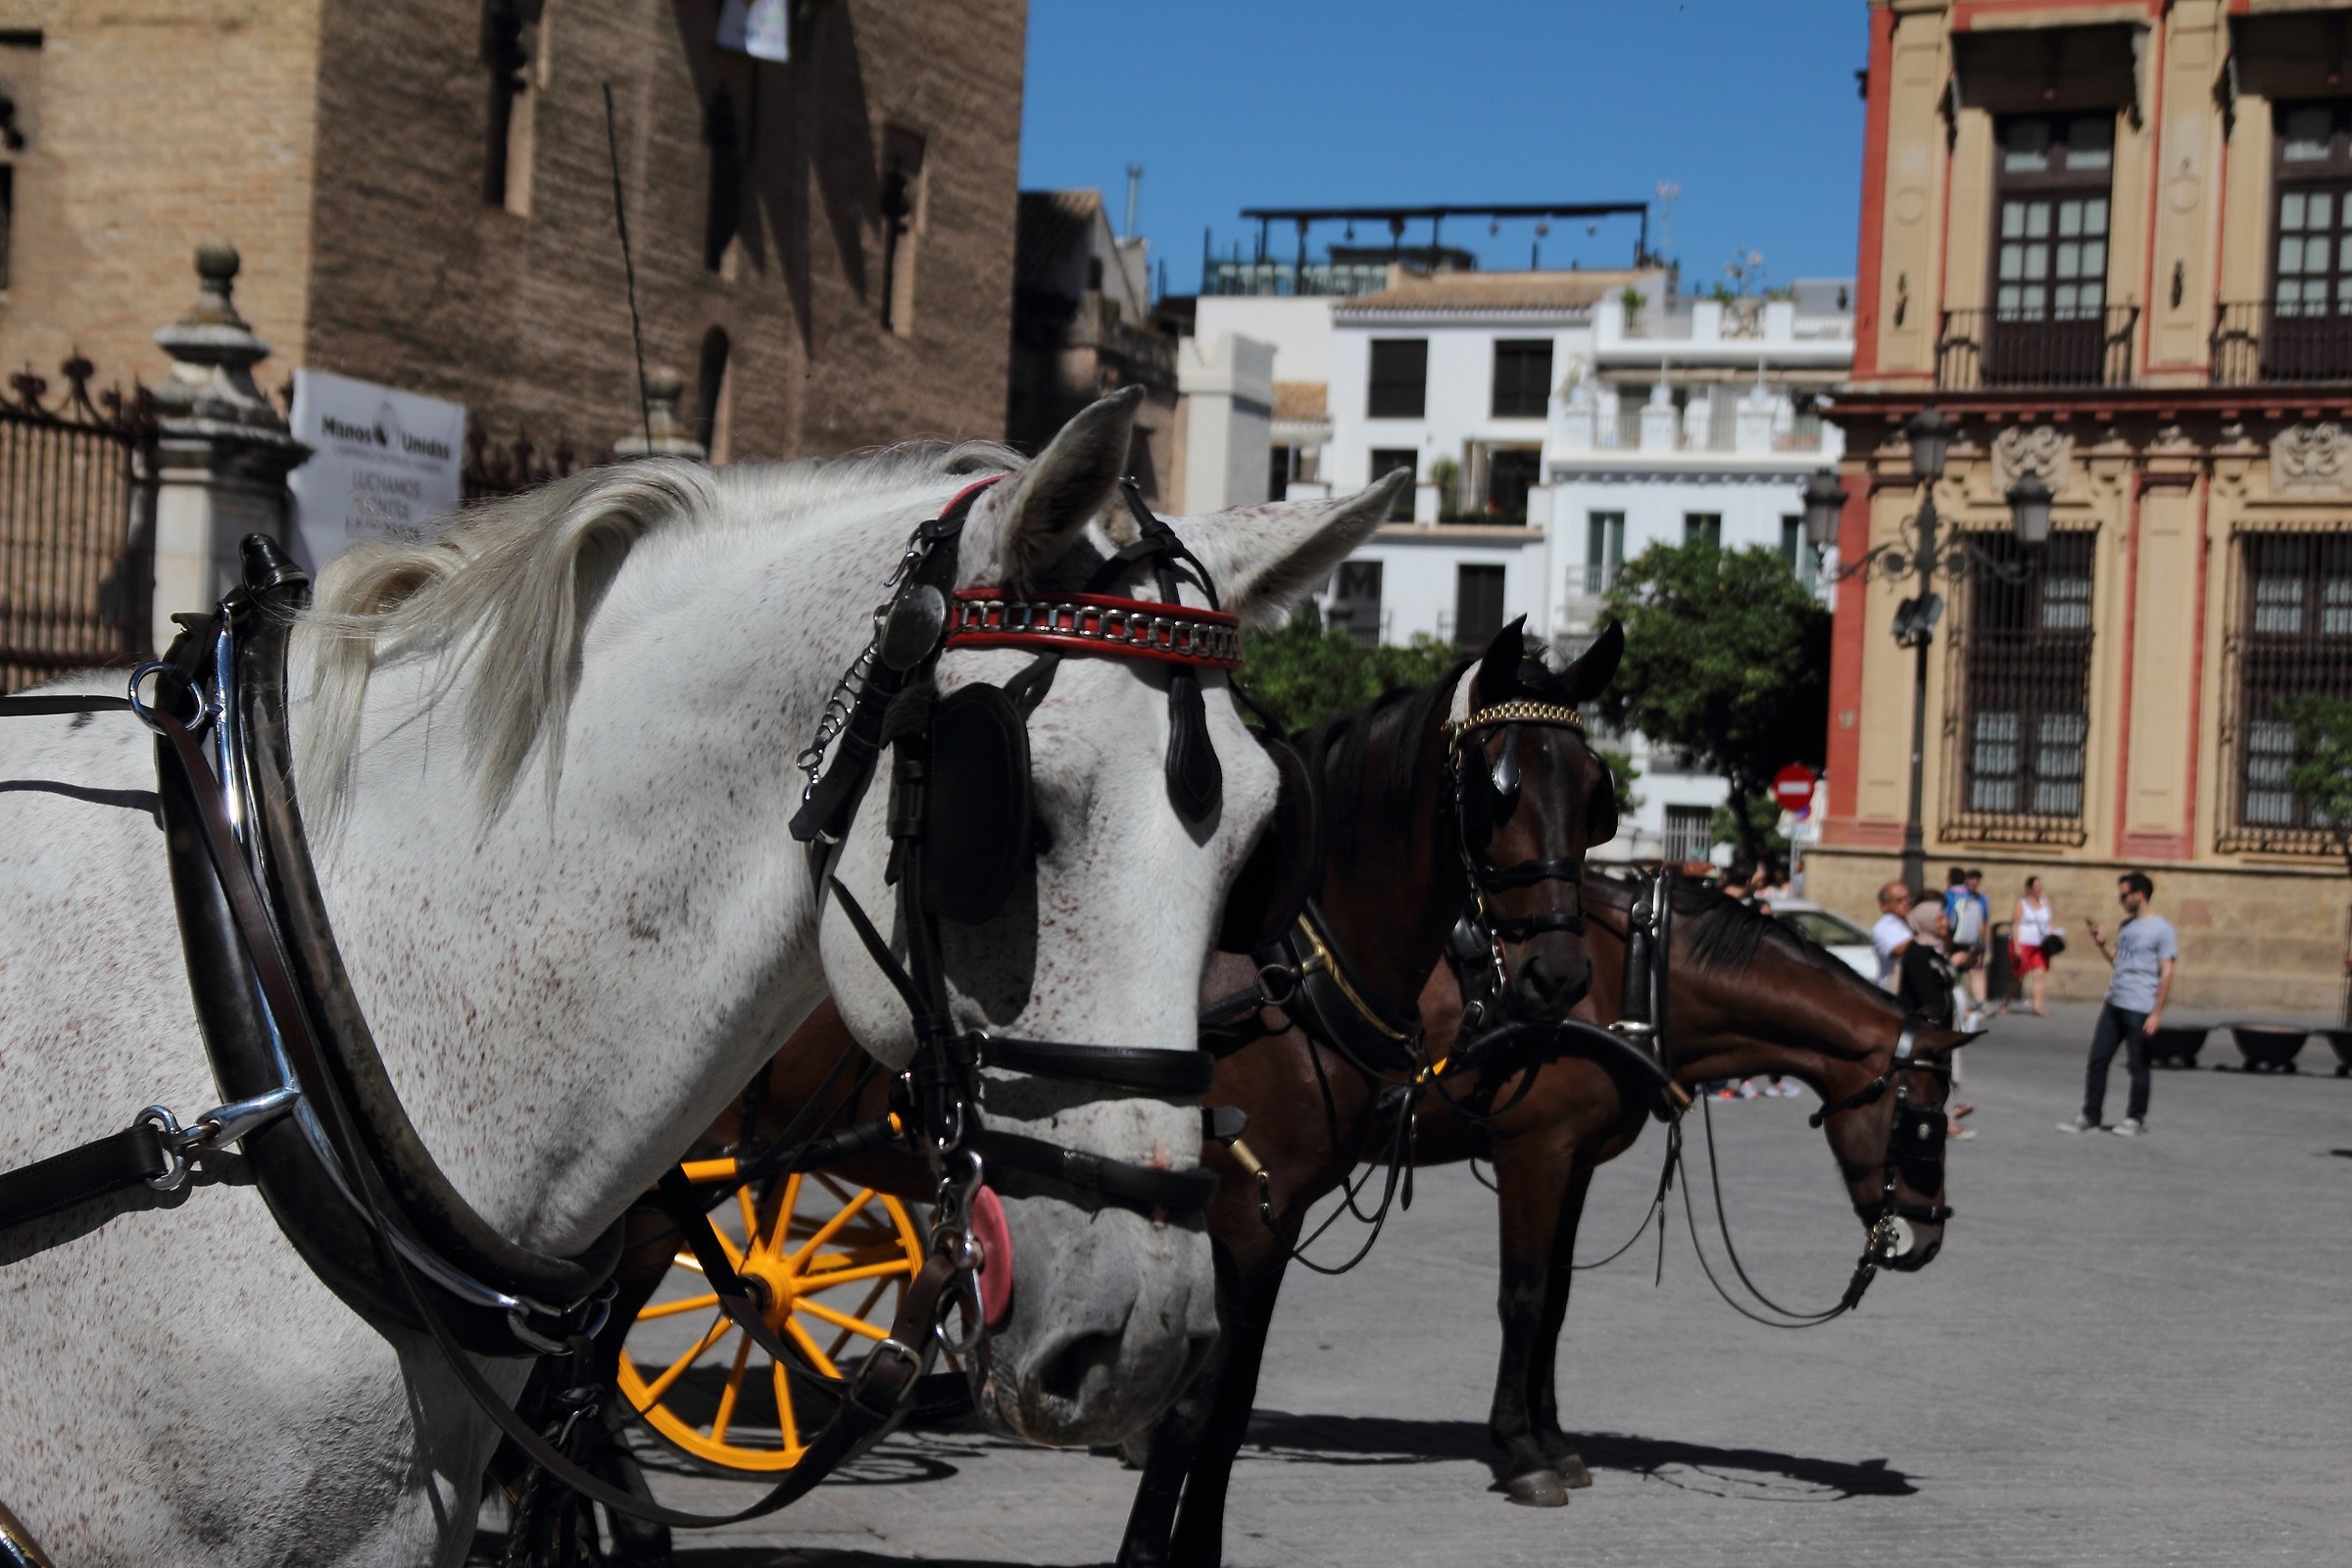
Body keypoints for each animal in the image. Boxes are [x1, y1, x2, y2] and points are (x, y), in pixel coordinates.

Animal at [1115, 873, 1960, 1566]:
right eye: (1924, 1119)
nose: (1924, 1237)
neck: (1630, 979)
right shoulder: (1536, 1155)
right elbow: (1523, 1300)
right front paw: (1522, 1452)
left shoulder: (1576, 1165)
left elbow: (1556, 1304)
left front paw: (1553, 1439)